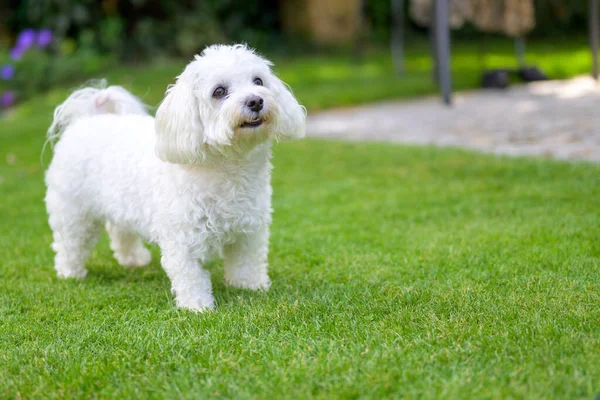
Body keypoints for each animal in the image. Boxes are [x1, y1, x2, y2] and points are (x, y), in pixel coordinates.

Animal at [45, 44, 308, 312]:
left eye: (258, 81)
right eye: (219, 91)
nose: (256, 100)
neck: (228, 164)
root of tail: (87, 119)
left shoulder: (249, 229)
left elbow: (247, 262)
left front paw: (251, 287)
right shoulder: (182, 239)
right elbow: (190, 275)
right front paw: (198, 306)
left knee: (119, 230)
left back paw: (133, 259)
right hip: (73, 211)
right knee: (69, 243)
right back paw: (70, 272)